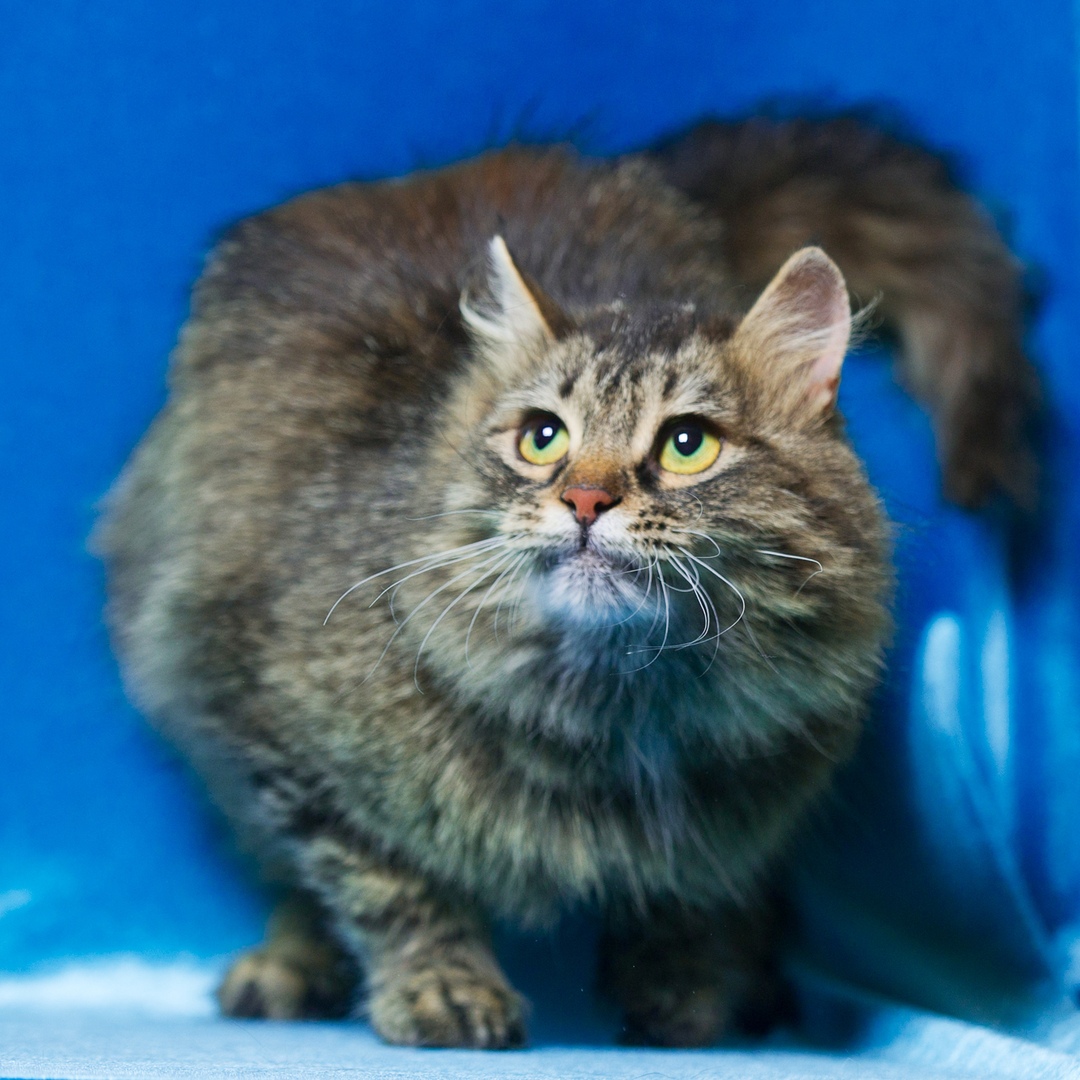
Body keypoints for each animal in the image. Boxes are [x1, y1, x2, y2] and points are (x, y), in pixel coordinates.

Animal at [97, 116, 1034, 1048]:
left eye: (688, 445)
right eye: (542, 438)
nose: (585, 498)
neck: (620, 705)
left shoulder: (749, 802)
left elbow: (697, 896)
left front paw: (680, 993)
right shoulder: (266, 717)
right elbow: (386, 884)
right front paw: (442, 989)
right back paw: (292, 967)